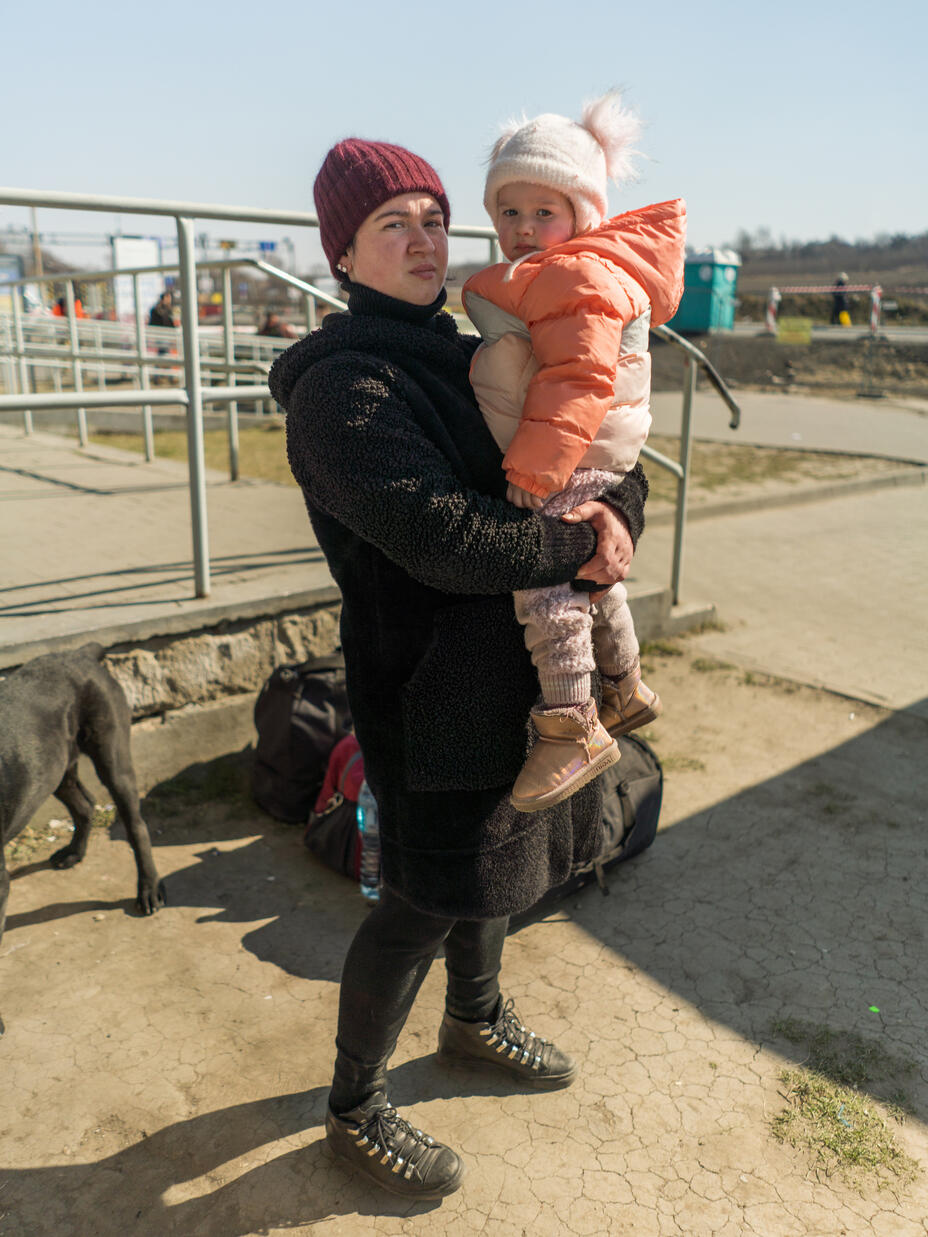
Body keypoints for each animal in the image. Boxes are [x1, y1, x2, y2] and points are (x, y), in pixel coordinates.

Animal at [0, 643, 165, 940]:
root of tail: (79, 653)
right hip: (53, 770)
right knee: (84, 805)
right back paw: (75, 852)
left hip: (113, 760)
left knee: (136, 826)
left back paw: (149, 888)